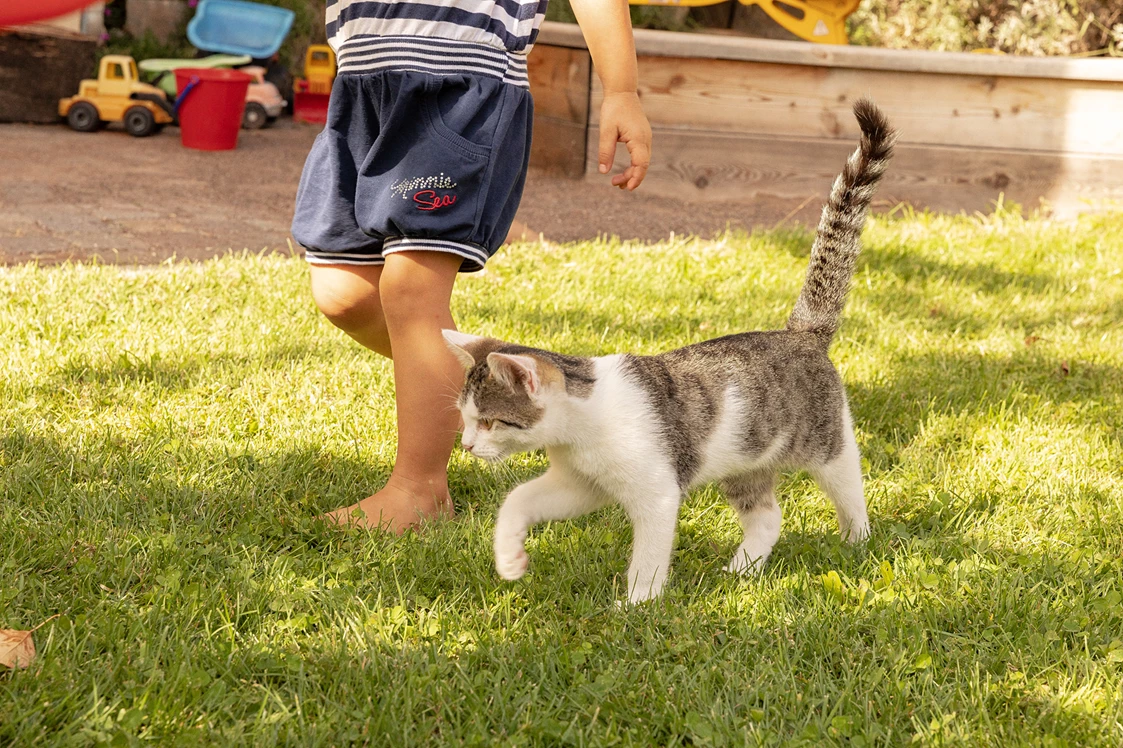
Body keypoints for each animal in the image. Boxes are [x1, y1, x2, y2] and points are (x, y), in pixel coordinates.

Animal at [444, 100, 893, 601]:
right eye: (466, 419)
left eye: (488, 421)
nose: (466, 445)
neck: (582, 426)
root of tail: (803, 332)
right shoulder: (579, 486)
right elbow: (518, 499)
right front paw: (509, 557)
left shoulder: (657, 492)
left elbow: (649, 557)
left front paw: (637, 604)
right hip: (745, 462)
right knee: (767, 517)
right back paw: (742, 570)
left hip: (826, 444)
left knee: (850, 487)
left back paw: (857, 543)